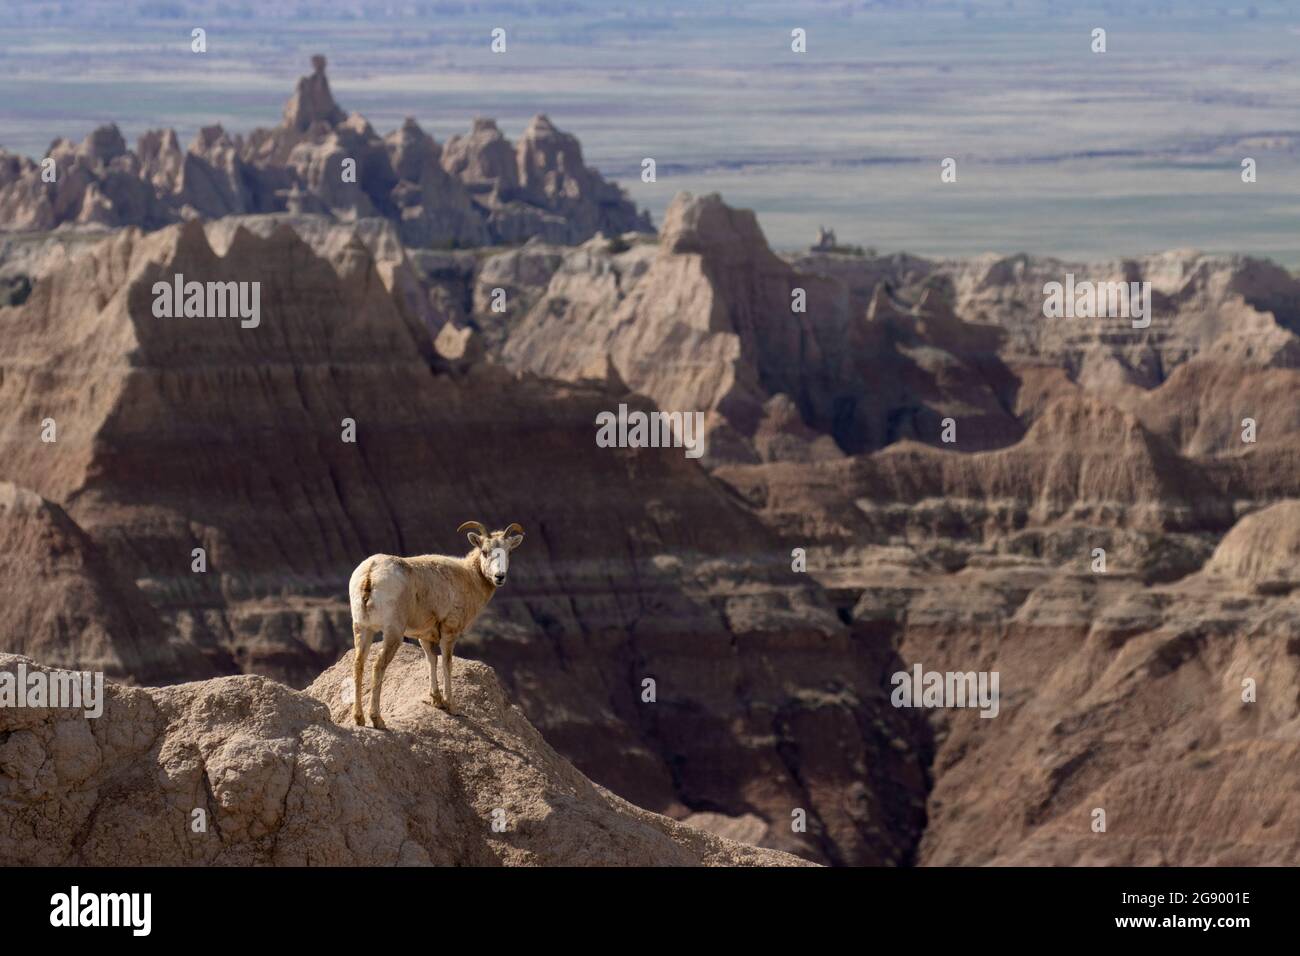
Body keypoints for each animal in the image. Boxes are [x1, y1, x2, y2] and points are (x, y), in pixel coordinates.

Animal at [351, 522, 527, 723]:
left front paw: (437, 701)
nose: (499, 577)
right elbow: (447, 664)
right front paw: (451, 706)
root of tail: (370, 575)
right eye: (484, 551)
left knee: (358, 664)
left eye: (509, 552)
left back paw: (359, 718)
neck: (469, 578)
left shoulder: (425, 636)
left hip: (362, 628)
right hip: (392, 633)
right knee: (378, 665)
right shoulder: (449, 633)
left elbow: (432, 660)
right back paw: (377, 720)